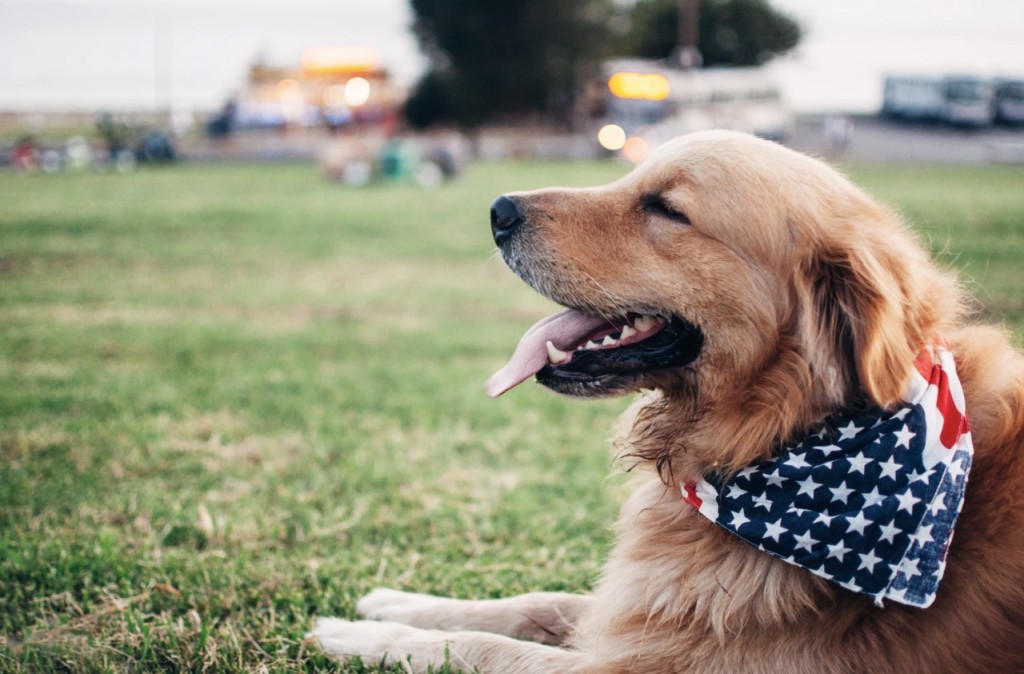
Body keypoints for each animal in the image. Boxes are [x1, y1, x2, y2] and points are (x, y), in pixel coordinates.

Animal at [311, 131, 1024, 671]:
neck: (777, 435)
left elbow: (479, 648)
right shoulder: (641, 610)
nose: (498, 209)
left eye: (666, 209)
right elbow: (534, 601)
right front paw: (394, 603)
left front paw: (360, 636)